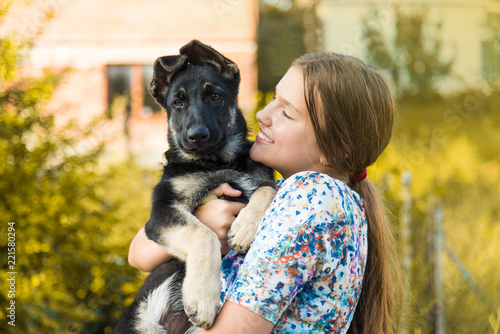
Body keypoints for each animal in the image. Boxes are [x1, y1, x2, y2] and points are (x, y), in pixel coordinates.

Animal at [114, 41, 276, 334]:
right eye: (178, 103)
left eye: (215, 96)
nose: (196, 136)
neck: (217, 161)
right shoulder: (162, 212)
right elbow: (204, 234)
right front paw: (202, 297)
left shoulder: (262, 179)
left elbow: (268, 189)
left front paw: (245, 229)